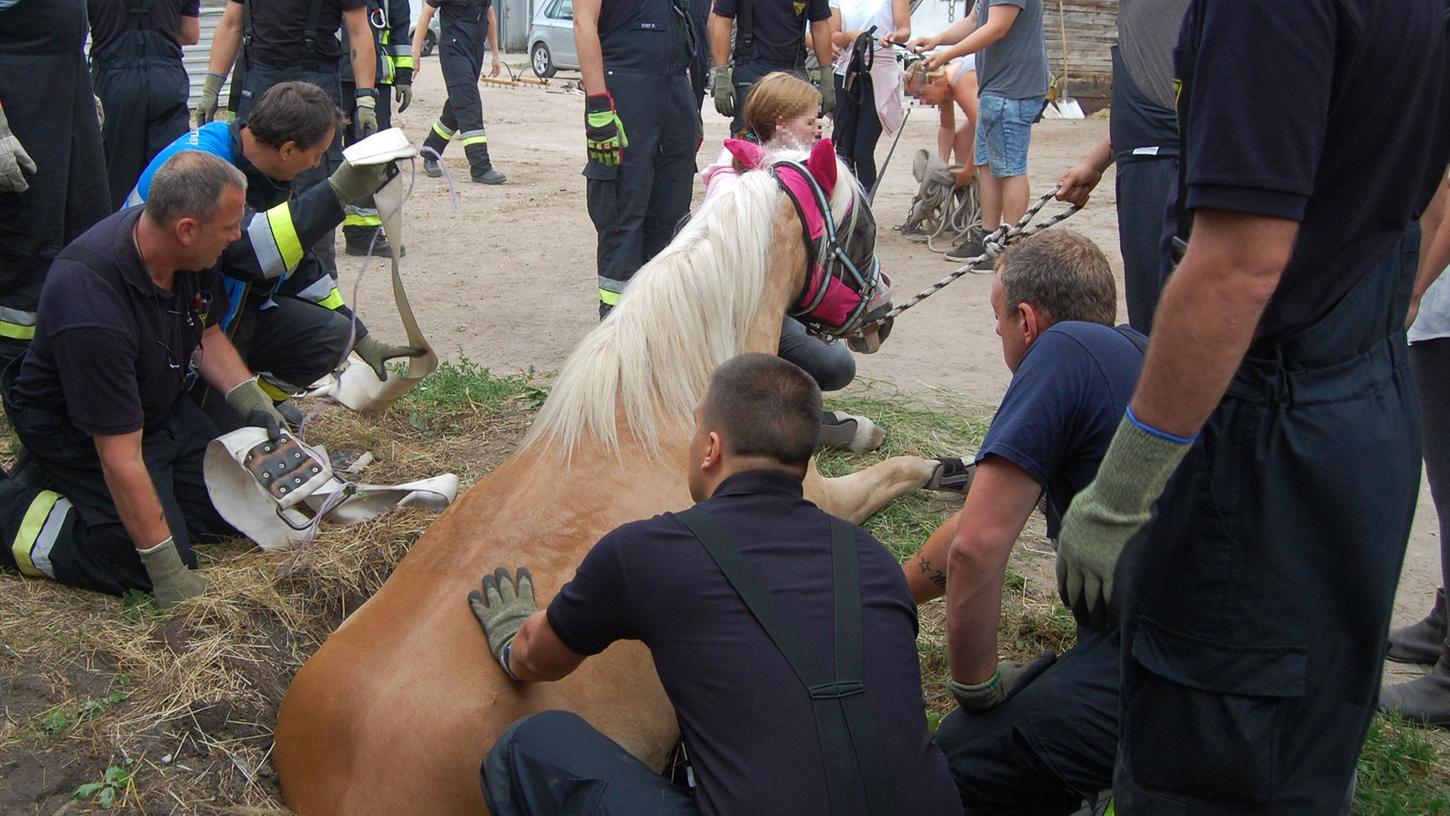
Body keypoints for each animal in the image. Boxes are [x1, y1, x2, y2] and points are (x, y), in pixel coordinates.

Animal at [274, 142, 939, 816]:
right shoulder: (827, 501)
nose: (883, 314)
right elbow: (901, 469)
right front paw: (938, 468)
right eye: (862, 229)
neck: (662, 395)